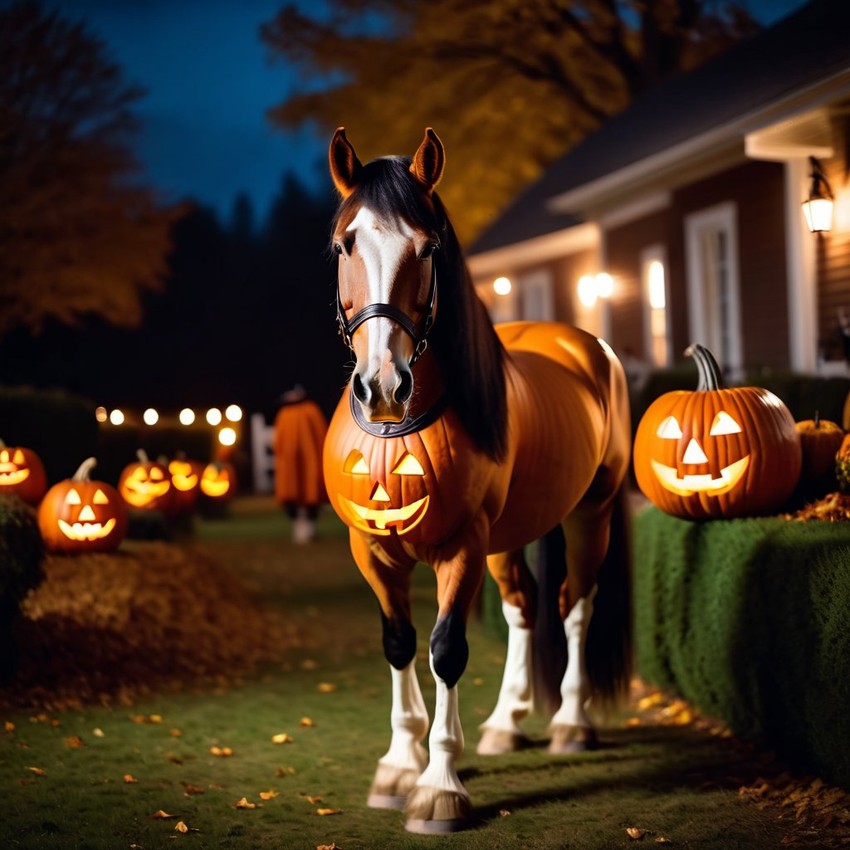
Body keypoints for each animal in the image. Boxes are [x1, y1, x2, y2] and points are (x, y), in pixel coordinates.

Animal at [322, 129, 628, 832]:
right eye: (344, 244)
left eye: (428, 246)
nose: (383, 385)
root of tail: (589, 347)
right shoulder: (372, 550)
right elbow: (400, 642)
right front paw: (398, 764)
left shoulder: (460, 547)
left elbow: (445, 649)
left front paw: (439, 786)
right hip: (510, 536)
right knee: (523, 604)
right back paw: (507, 723)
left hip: (590, 514)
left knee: (574, 604)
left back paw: (570, 723)